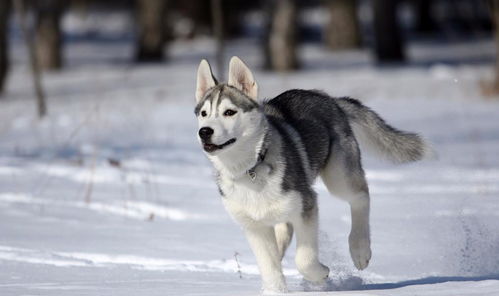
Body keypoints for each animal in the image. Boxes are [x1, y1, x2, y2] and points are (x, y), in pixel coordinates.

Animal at [195, 56, 430, 292]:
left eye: (229, 112)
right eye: (204, 114)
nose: (204, 131)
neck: (250, 167)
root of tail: (328, 98)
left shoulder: (306, 206)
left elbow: (304, 260)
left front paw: (321, 274)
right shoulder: (254, 226)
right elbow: (269, 267)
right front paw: (275, 289)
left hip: (338, 176)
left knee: (361, 196)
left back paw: (360, 249)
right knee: (284, 232)